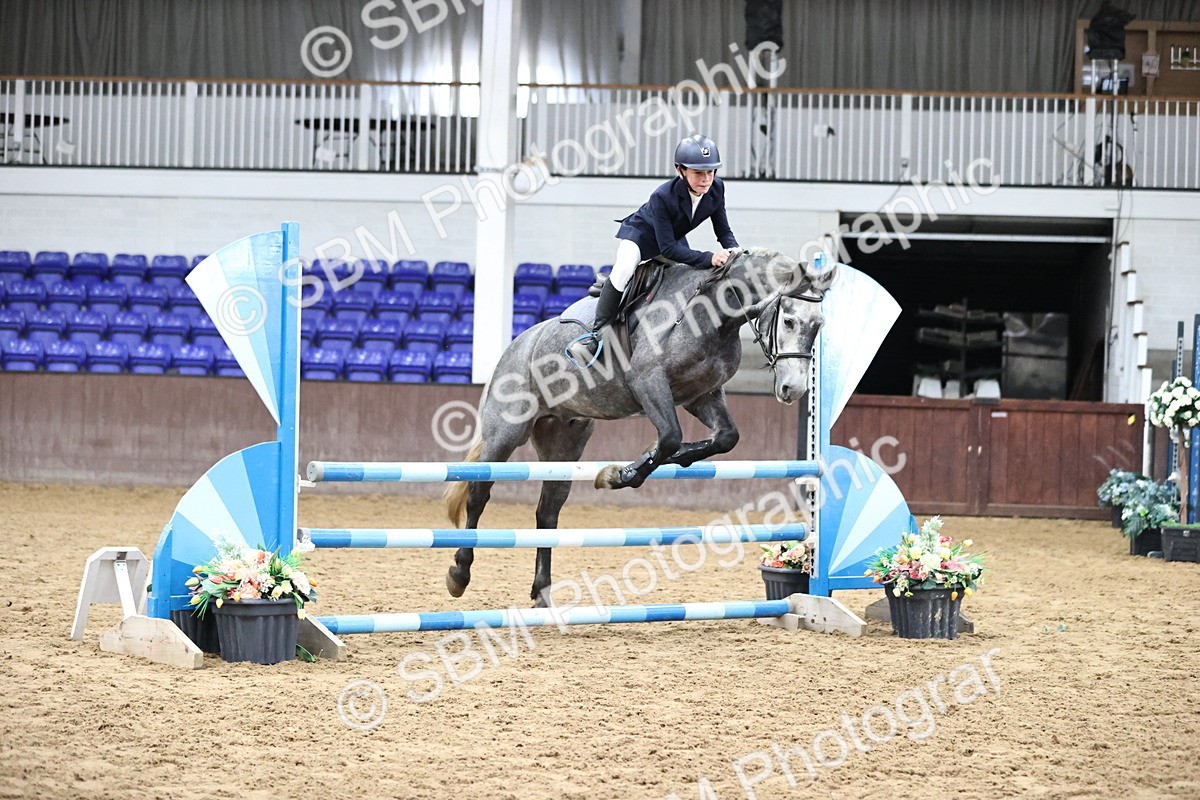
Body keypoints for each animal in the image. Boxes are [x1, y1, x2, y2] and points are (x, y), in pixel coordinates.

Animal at [444, 247, 838, 605]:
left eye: (819, 326)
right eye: (788, 321)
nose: (793, 390)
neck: (714, 312)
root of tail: (517, 345)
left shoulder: (700, 395)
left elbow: (724, 437)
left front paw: (670, 460)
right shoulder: (648, 382)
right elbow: (670, 437)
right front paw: (621, 474)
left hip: (564, 441)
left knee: (548, 510)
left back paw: (542, 593)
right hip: (505, 433)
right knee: (479, 494)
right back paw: (459, 574)